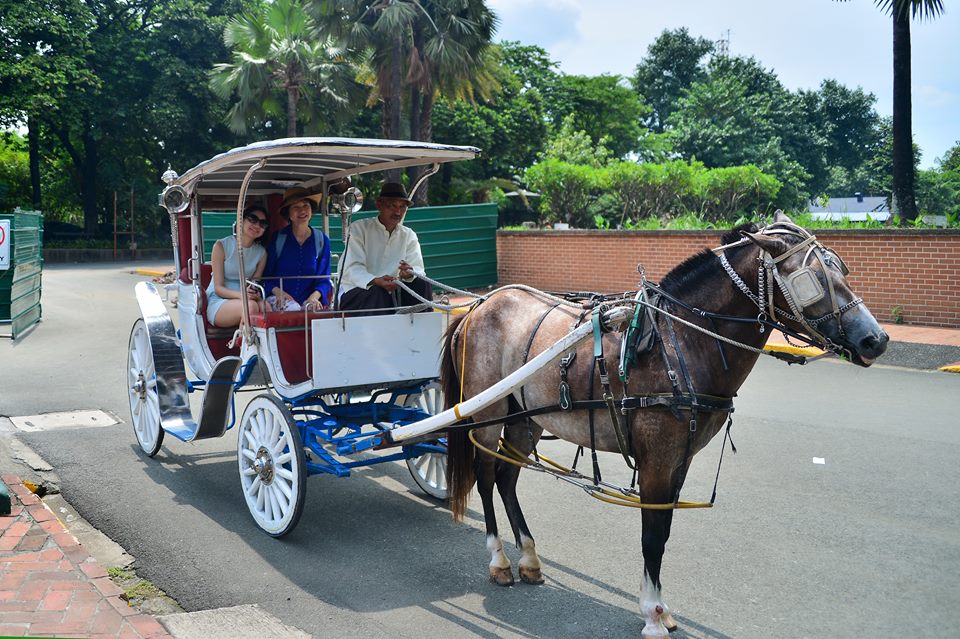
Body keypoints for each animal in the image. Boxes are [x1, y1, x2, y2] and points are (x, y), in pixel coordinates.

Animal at [438, 212, 888, 636]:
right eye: (813, 278)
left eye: (842, 271)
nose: (876, 339)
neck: (682, 342)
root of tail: (479, 305)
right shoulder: (657, 459)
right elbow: (652, 536)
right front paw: (652, 614)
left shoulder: (679, 460)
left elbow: (665, 530)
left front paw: (660, 607)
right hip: (489, 411)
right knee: (485, 475)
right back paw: (499, 560)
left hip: (526, 418)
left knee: (506, 477)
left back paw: (529, 557)